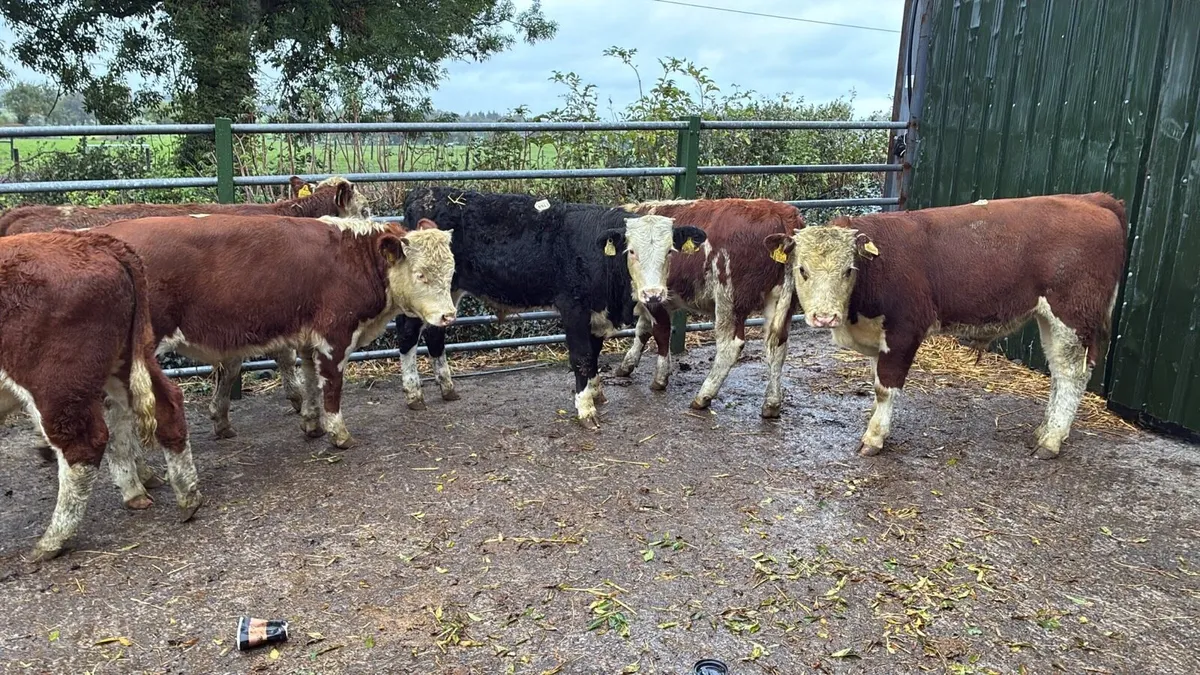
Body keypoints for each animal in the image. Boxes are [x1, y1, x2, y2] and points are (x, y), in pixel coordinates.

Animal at [0, 229, 202, 561]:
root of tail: (96, 240)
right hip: (127, 361)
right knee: (167, 405)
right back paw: (185, 496)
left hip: (55, 383)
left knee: (83, 446)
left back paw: (52, 541)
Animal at [89, 214, 456, 468]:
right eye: (421, 274)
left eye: (451, 272)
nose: (449, 316)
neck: (353, 258)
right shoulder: (334, 337)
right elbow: (332, 387)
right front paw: (339, 434)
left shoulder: (308, 338)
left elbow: (310, 381)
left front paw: (312, 424)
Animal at [397, 187, 706, 428]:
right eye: (631, 251)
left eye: (670, 251)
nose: (653, 294)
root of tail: (422, 193)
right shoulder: (573, 307)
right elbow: (582, 356)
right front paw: (586, 409)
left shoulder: (595, 312)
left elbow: (594, 354)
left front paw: (595, 392)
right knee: (408, 332)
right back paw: (413, 393)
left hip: (448, 289)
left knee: (435, 333)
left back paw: (447, 387)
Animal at [615, 199, 805, 418]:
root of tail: (780, 210)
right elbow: (642, 330)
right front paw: (627, 364)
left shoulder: (656, 298)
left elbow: (660, 333)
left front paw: (660, 378)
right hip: (780, 301)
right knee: (777, 345)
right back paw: (772, 404)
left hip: (728, 300)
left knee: (730, 346)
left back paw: (703, 395)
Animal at [774, 193, 1127, 459]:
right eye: (802, 269)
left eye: (848, 270)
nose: (825, 317)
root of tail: (1093, 199)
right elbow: (878, 385)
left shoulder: (904, 331)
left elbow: (885, 388)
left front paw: (874, 438)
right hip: (1051, 318)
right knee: (1058, 371)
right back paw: (1046, 430)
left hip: (1072, 315)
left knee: (1072, 374)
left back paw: (1051, 441)